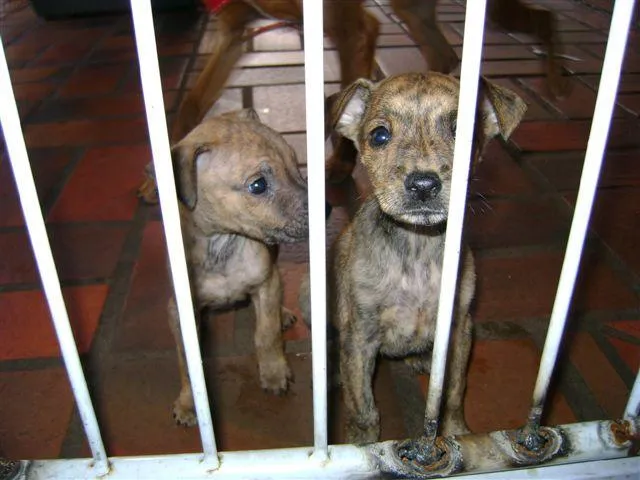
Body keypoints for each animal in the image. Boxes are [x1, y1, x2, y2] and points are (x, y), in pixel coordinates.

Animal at [168, 108, 308, 424]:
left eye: (296, 163)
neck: (222, 244)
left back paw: (282, 313)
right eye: (258, 185)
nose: (327, 208)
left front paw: (273, 372)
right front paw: (188, 402)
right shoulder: (179, 311)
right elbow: (186, 361)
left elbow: (267, 334)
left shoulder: (266, 283)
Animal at [330, 71, 524, 442]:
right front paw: (361, 443)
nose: (423, 185)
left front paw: (457, 433)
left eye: (462, 131)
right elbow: (364, 409)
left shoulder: (459, 329)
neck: (416, 249)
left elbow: (454, 392)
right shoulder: (360, 337)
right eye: (379, 135)